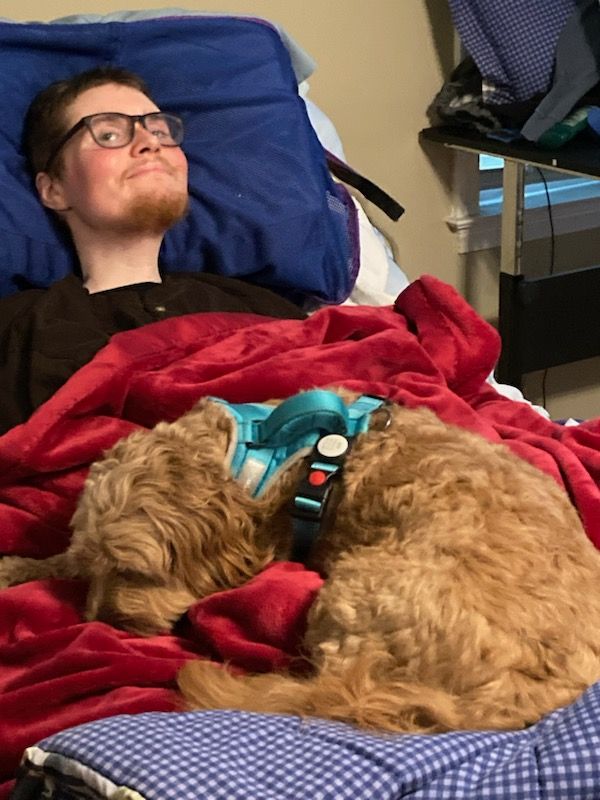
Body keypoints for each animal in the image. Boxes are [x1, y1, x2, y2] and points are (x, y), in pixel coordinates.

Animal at [2, 390, 600, 734]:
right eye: (94, 566)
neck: (246, 451)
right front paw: (21, 566)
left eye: (134, 571)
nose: (99, 623)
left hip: (356, 594)